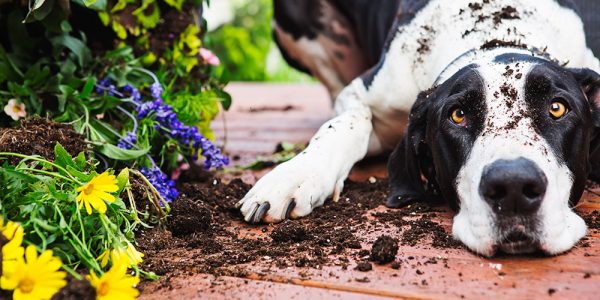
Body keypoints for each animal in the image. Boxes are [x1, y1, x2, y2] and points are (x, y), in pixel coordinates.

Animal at [234, 0, 600, 258]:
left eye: (557, 108)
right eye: (457, 115)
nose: (512, 187)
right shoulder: (363, 92)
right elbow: (345, 123)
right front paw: (295, 176)